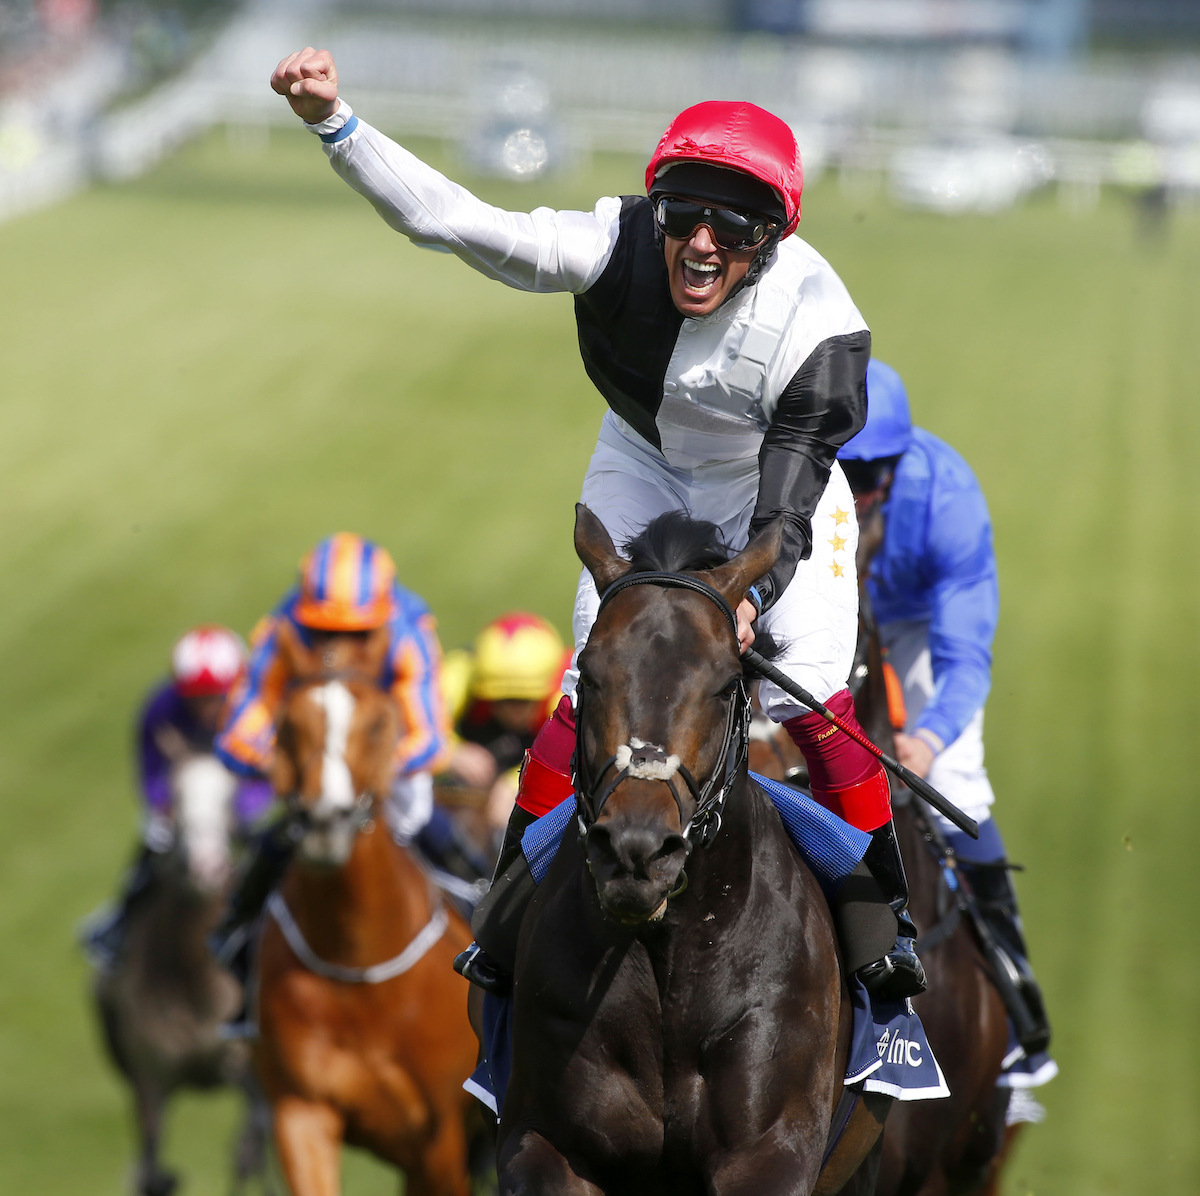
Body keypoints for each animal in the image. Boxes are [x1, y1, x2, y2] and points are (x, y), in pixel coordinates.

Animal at [93, 758, 272, 1194]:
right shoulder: (150, 1080)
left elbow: (249, 1150)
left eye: (231, 798)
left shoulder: (243, 1069)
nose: (205, 865)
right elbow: (151, 1170)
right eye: (174, 796)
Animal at [255, 623, 480, 1194]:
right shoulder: (301, 1110)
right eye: (288, 724)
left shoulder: (440, 1133)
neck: (356, 967)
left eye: (379, 723)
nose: (325, 821)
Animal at [492, 506, 888, 1194]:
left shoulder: (770, 1152)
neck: (670, 954)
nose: (637, 850)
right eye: (589, 672)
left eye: (728, 683)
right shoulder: (543, 1141)